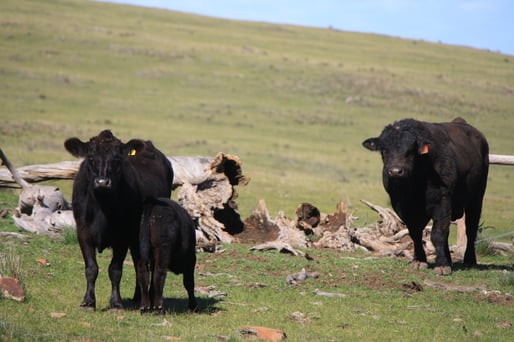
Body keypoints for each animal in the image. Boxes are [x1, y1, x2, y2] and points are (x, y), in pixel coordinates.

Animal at [63, 130, 172, 308]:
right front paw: (88, 301)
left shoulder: (123, 236)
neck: (102, 207)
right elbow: (91, 268)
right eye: (90, 157)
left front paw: (116, 303)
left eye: (117, 159)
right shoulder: (83, 232)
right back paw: (137, 297)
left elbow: (115, 270)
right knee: (138, 262)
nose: (102, 182)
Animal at [362, 118, 486, 276]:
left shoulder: (442, 201)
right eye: (384, 150)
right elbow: (415, 233)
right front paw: (419, 261)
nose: (396, 171)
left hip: (476, 198)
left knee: (471, 229)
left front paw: (441, 265)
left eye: (411, 150)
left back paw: (469, 260)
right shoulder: (403, 206)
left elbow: (438, 233)